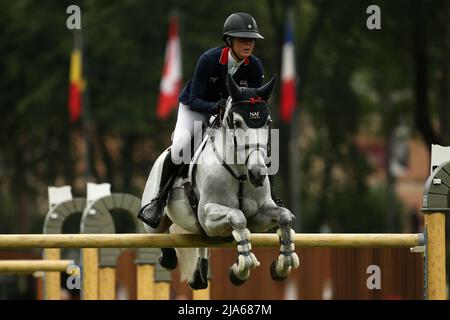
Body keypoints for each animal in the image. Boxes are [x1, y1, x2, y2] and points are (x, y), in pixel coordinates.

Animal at [142, 74, 300, 288]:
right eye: (237, 122)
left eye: (268, 121)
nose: (257, 174)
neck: (241, 172)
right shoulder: (207, 215)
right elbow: (237, 217)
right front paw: (240, 270)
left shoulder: (258, 215)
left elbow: (284, 216)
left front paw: (282, 265)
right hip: (154, 221)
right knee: (158, 233)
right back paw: (168, 255)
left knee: (199, 242)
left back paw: (200, 273)